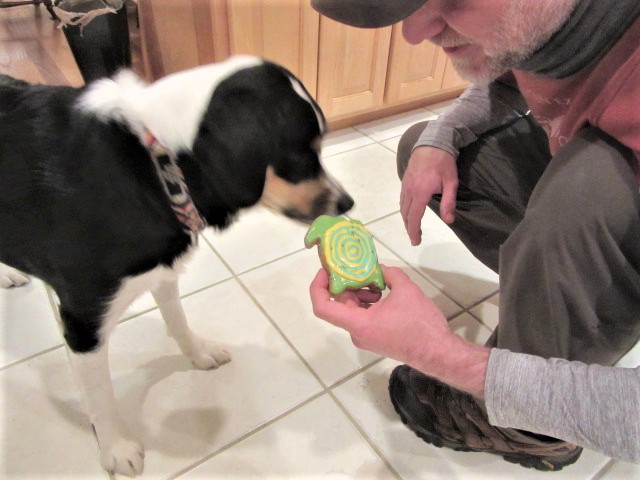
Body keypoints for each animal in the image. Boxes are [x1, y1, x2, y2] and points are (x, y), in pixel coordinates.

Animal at [0, 55, 353, 476]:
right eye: (303, 155)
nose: (348, 203)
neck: (159, 167)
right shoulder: (81, 319)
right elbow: (100, 395)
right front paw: (116, 448)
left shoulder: (162, 270)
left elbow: (178, 320)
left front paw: (200, 354)